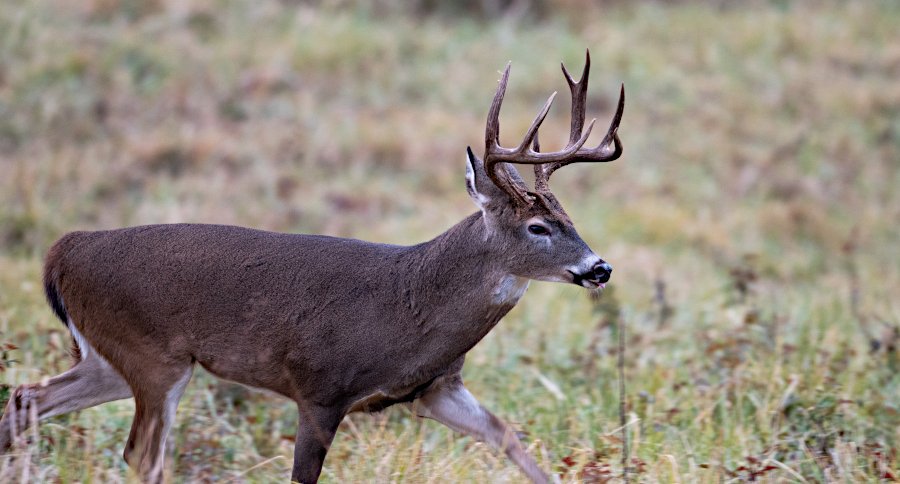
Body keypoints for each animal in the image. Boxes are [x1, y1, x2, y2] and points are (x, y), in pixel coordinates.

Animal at [0, 51, 624, 482]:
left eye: (568, 216)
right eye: (537, 227)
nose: (600, 268)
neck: (413, 304)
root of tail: (62, 252)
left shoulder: (436, 387)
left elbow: (508, 436)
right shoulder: (320, 387)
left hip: (108, 355)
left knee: (27, 399)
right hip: (154, 355)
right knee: (140, 454)